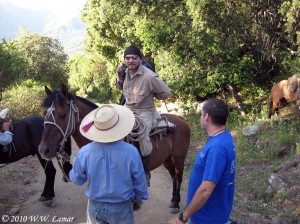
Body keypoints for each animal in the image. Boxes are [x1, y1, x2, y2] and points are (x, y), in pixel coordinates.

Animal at [38, 84, 191, 214]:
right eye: (45, 114)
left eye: (63, 114)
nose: (44, 150)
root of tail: (181, 119)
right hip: (166, 159)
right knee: (173, 176)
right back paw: (173, 200)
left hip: (179, 157)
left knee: (178, 176)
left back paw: (176, 203)